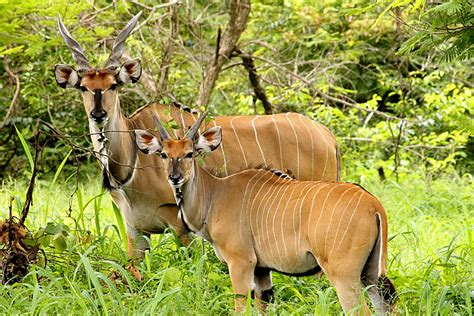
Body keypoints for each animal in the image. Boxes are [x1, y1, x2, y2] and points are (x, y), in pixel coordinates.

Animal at [54, 12, 340, 260]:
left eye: (114, 85)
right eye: (83, 87)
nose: (98, 114)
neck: (131, 164)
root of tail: (328, 136)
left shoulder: (181, 227)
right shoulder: (135, 231)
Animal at [134, 113, 396, 314]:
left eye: (190, 153)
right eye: (164, 154)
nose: (175, 177)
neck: (215, 195)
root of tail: (374, 204)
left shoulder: (241, 263)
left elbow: (240, 308)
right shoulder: (262, 271)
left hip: (344, 276)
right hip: (371, 275)